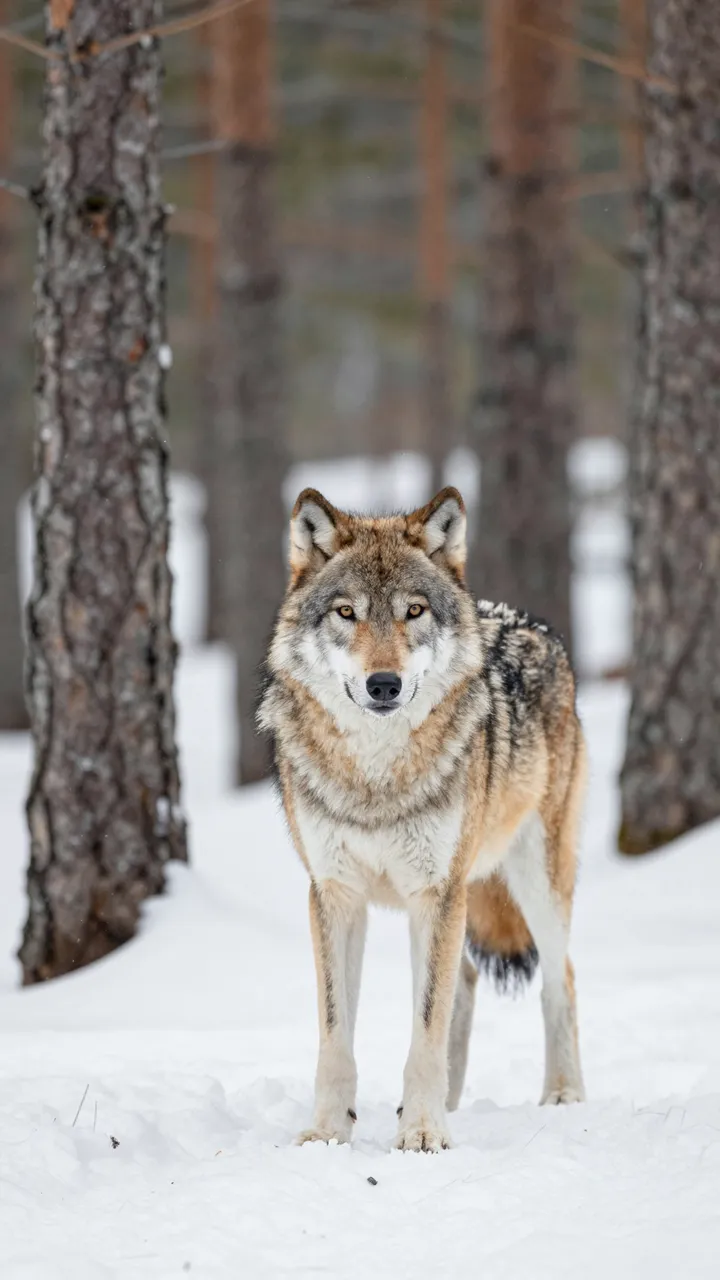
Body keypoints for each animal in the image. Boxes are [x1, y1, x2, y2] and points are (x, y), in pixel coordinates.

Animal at [258, 486, 586, 1152]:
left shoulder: (436, 892)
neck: (376, 777)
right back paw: (452, 1102)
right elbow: (337, 1036)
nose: (384, 684)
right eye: (347, 613)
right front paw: (328, 1132)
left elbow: (425, 1027)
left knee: (559, 975)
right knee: (466, 981)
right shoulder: (335, 894)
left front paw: (425, 1133)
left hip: (534, 882)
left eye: (413, 611)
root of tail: (534, 623)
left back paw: (562, 1094)